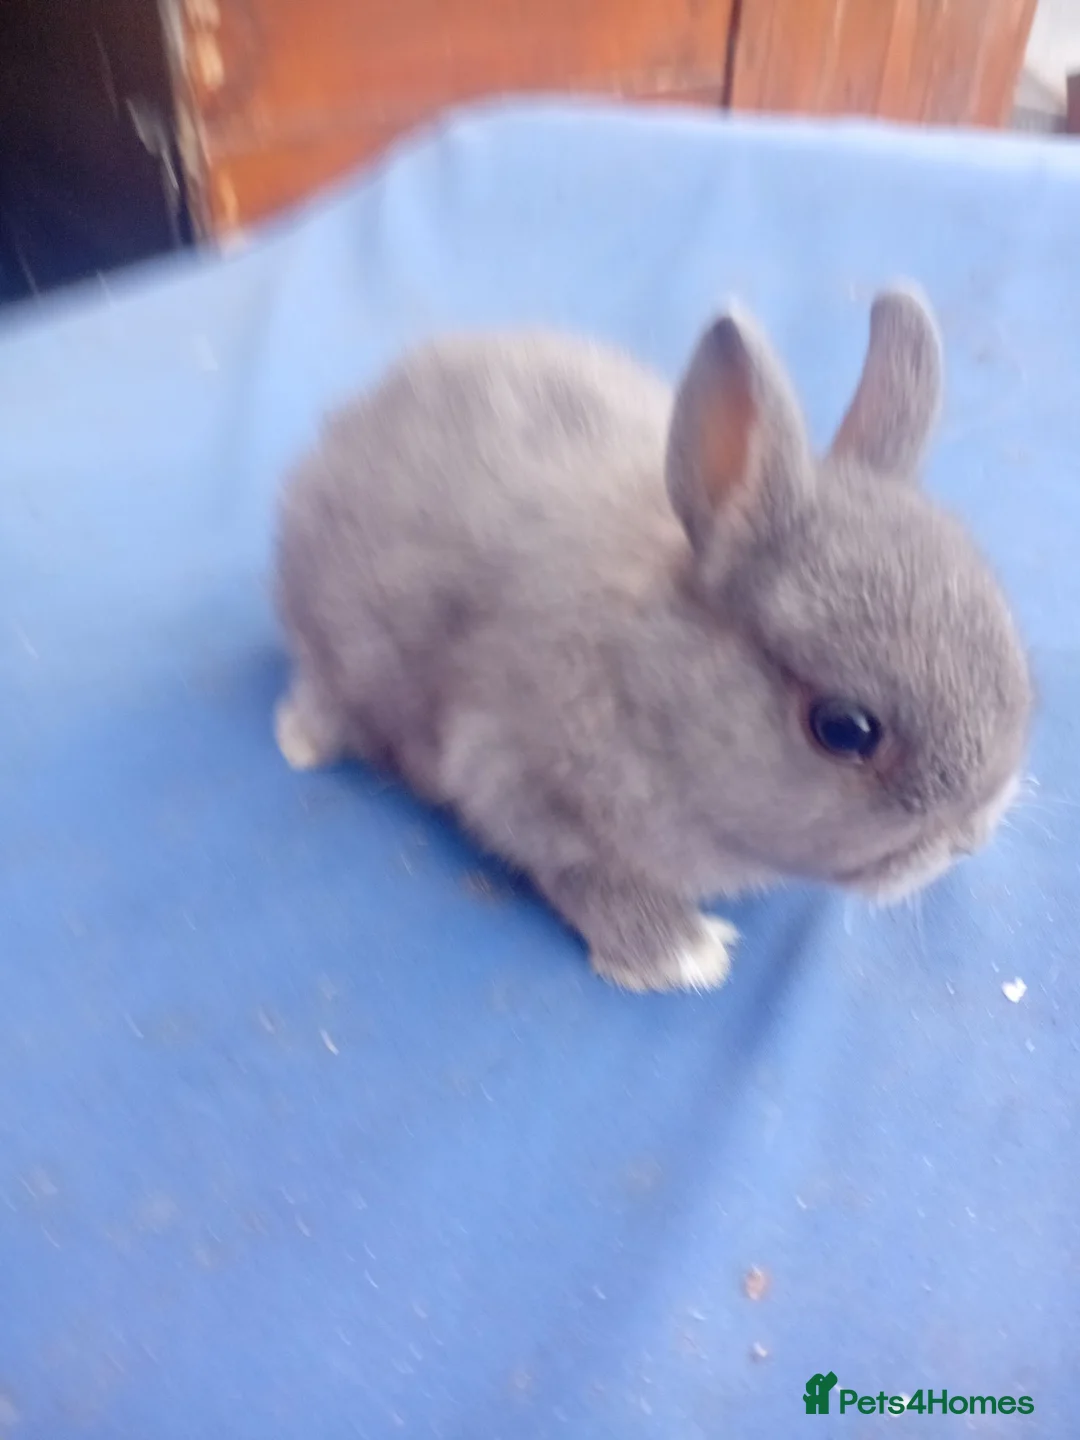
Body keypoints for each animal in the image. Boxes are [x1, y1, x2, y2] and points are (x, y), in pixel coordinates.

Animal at [274, 287, 1031, 993]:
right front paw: (681, 955)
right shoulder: (515, 781)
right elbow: (582, 872)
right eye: (845, 729)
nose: (969, 835)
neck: (648, 682)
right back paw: (301, 742)